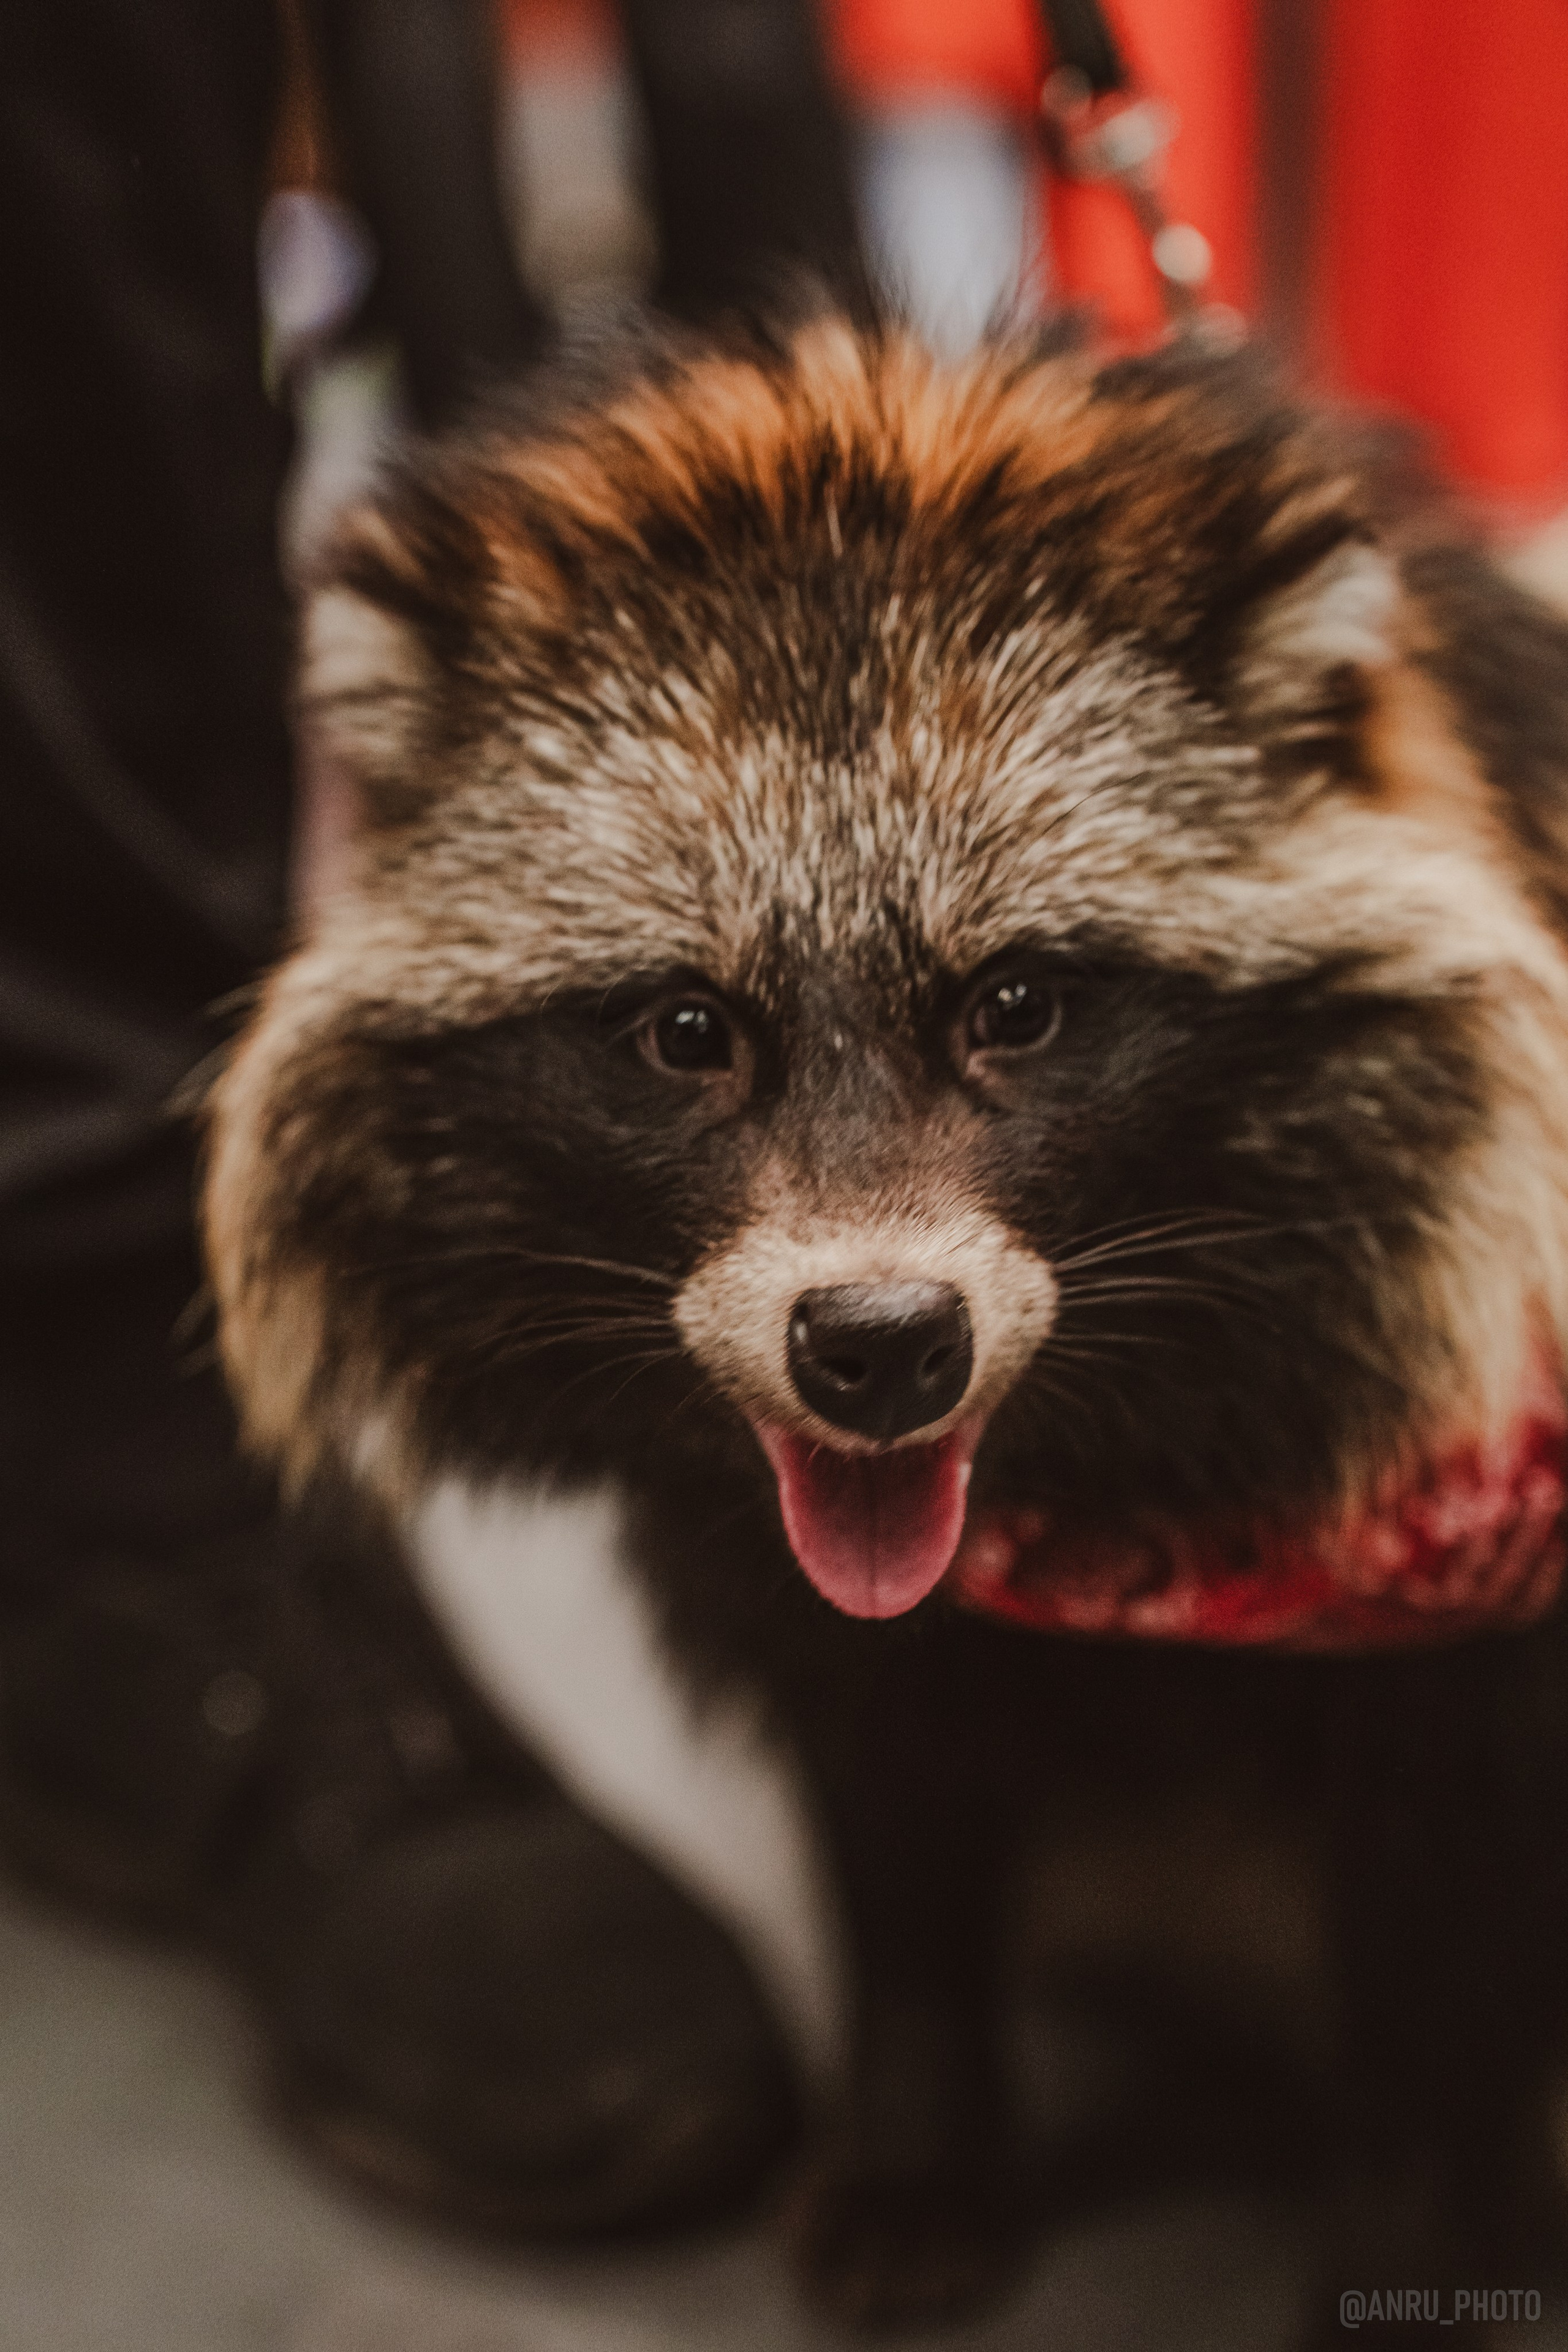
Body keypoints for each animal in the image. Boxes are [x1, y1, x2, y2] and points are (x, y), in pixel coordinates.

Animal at [205, 314, 1568, 2340]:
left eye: (1016, 1006)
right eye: (686, 1032)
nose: (876, 1347)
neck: (1100, 1508)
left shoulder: (1463, 1669)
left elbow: (1439, 2001)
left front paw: (1412, 2251)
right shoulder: (824, 1619)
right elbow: (901, 1860)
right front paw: (926, 2128)